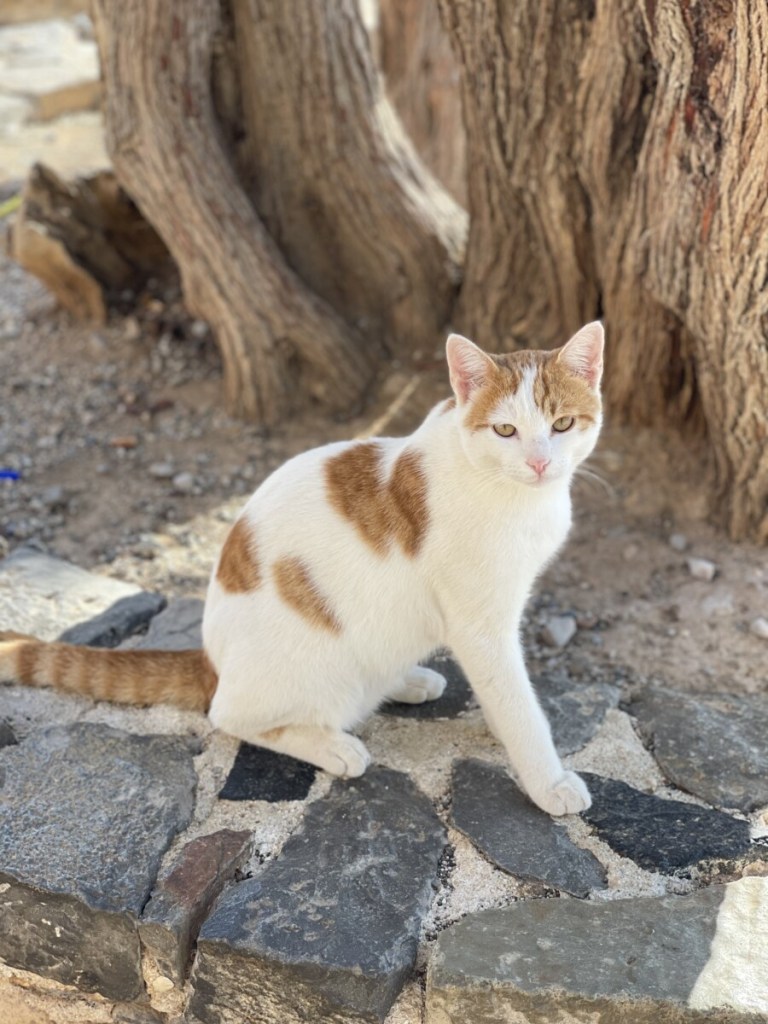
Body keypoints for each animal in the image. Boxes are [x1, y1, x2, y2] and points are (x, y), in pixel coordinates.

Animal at [3, 319, 610, 815]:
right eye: (505, 431)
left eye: (562, 424)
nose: (540, 463)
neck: (513, 493)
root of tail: (211, 659)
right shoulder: (481, 628)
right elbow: (519, 708)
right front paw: (549, 783)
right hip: (313, 670)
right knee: (229, 714)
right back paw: (332, 744)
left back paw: (406, 679)